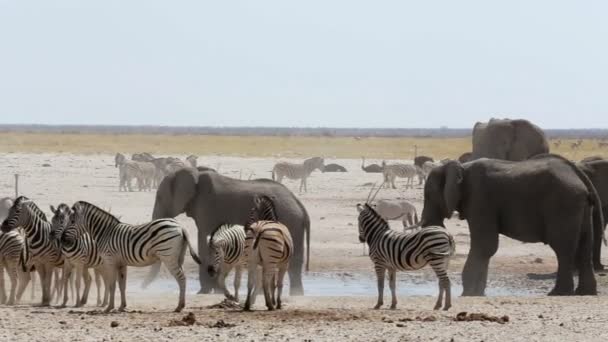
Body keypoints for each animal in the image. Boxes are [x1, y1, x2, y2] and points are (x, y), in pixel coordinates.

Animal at [66, 200, 201, 312]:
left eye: (72, 221)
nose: (63, 240)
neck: (105, 233)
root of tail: (180, 226)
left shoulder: (110, 262)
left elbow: (112, 285)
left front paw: (109, 308)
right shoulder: (121, 264)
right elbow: (122, 285)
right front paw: (122, 306)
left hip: (168, 257)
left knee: (181, 278)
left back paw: (179, 306)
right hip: (179, 257)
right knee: (183, 278)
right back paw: (180, 305)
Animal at [152, 168, 308, 294]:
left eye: (159, 197)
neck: (195, 174)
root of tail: (300, 205)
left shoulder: (207, 207)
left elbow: (203, 239)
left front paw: (204, 292)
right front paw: (215, 291)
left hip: (291, 221)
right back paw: (296, 294)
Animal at [420, 155, 600, 296]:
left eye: (428, 195)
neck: (461, 167)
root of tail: (578, 175)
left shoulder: (480, 199)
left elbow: (486, 246)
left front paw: (468, 294)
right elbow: (487, 247)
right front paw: (477, 294)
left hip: (563, 204)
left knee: (562, 248)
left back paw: (558, 293)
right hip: (582, 208)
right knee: (585, 247)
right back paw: (585, 292)